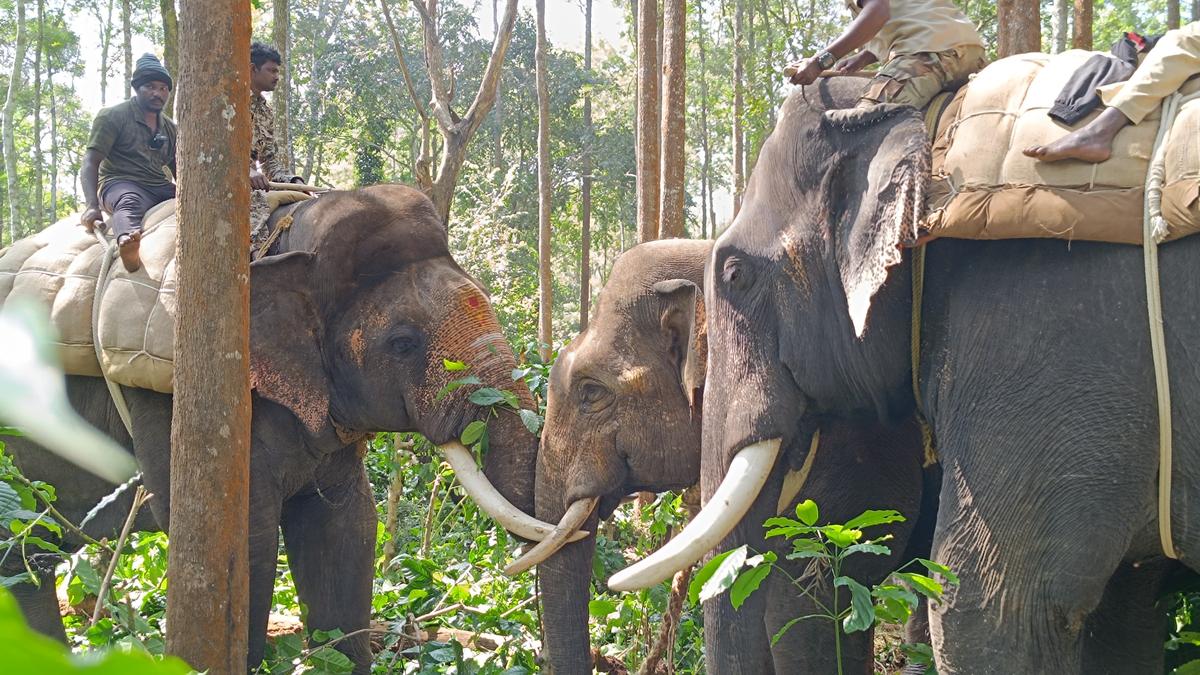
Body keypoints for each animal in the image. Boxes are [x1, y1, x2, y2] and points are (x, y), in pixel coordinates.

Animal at [2, 184, 565, 673]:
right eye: (403, 343)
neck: (280, 241)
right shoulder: (171, 397)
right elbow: (246, 537)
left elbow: (344, 524)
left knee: (27, 564)